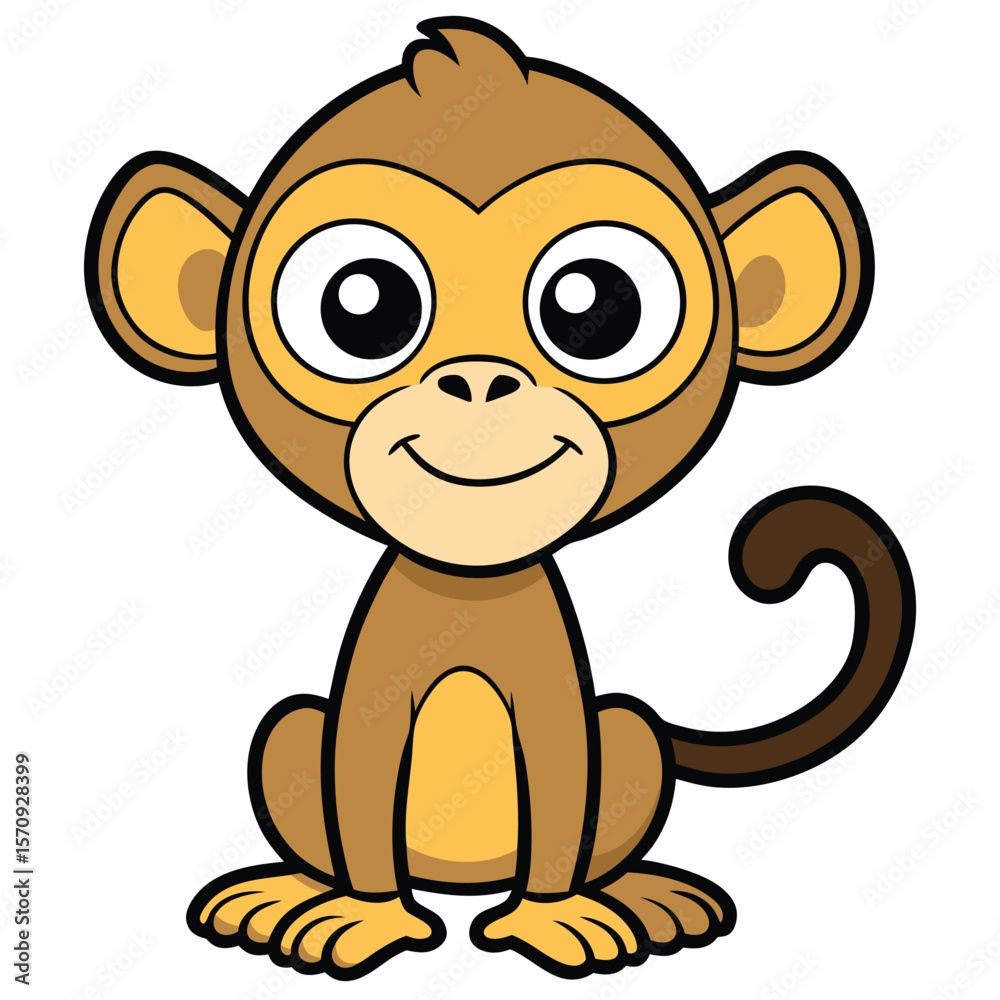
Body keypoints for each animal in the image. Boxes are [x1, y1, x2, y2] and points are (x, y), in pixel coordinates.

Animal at [84, 17, 915, 981]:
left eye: (594, 304)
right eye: (362, 305)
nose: (480, 381)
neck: (469, 588)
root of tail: (457, 881)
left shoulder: (556, 702)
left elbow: (561, 786)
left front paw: (557, 919)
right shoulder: (371, 698)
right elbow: (360, 783)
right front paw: (362, 917)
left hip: (630, 735)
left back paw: (643, 896)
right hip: (292, 733)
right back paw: (286, 893)